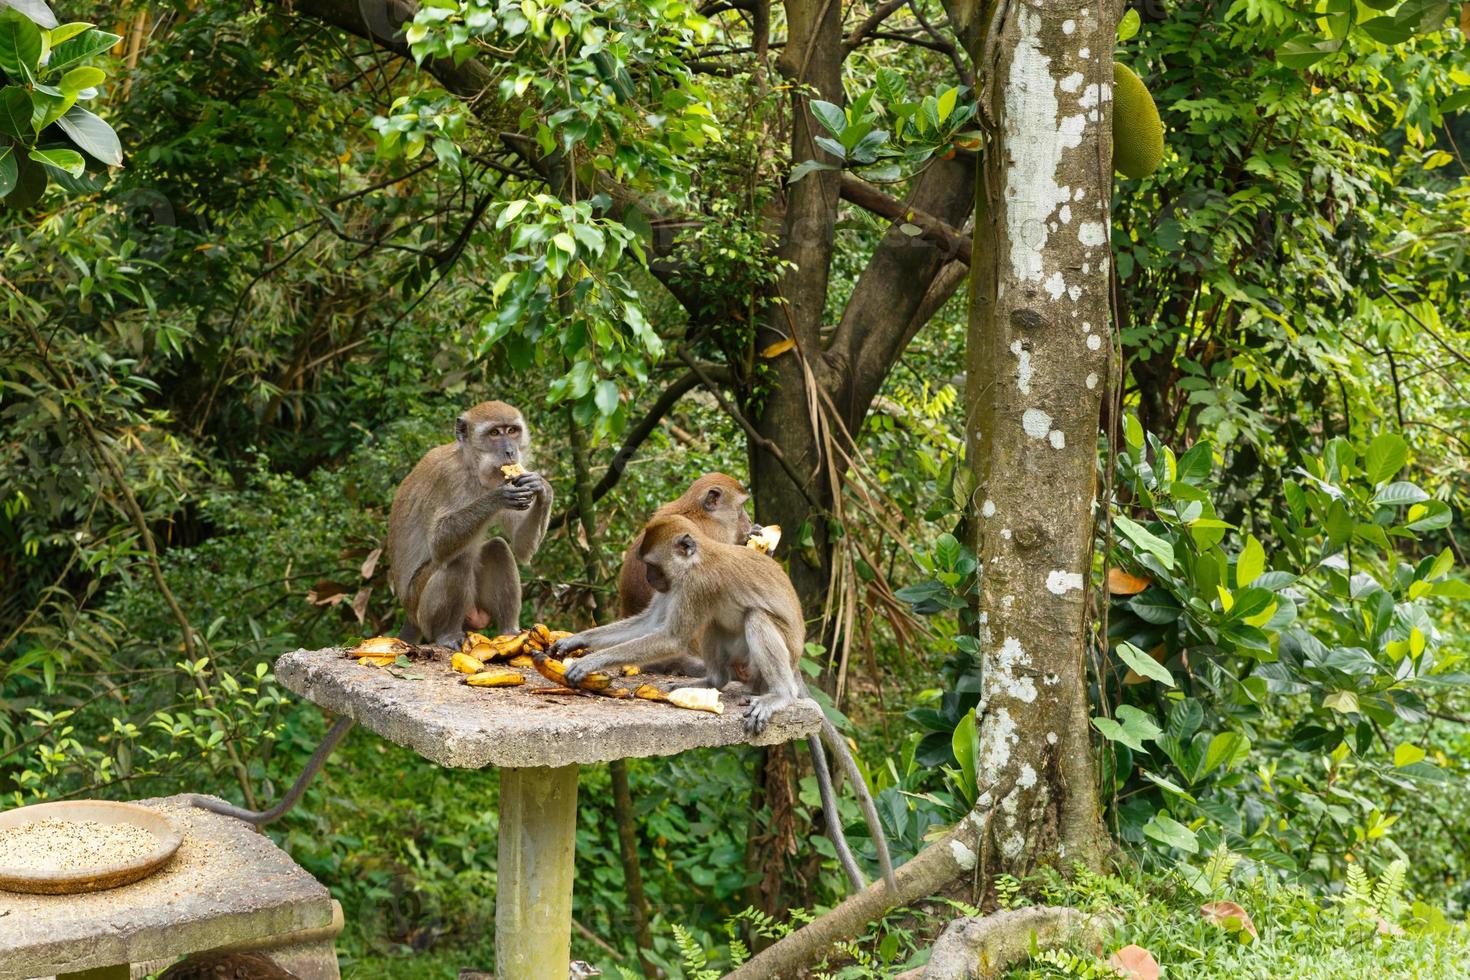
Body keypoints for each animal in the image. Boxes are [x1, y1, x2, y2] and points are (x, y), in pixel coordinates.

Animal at [388, 399, 552, 652]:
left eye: (512, 431)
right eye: (494, 433)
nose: (510, 451)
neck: (472, 467)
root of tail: (409, 613)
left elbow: (521, 546)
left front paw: (541, 486)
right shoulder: (449, 477)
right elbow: (439, 543)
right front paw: (498, 497)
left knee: (498, 548)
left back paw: (510, 632)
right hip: (421, 610)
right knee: (458, 560)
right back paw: (446, 635)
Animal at [552, 517, 893, 893]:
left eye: (653, 565)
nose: (651, 579)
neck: (696, 561)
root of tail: (795, 665)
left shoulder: (696, 587)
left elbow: (669, 636)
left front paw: (591, 661)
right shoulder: (679, 587)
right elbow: (649, 624)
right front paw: (575, 641)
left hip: (775, 657)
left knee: (755, 617)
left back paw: (777, 695)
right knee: (717, 622)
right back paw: (711, 682)